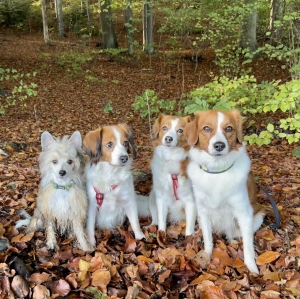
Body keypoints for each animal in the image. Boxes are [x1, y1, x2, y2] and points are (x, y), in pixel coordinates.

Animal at [185, 109, 264, 274]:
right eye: (206, 128)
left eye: (229, 128)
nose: (219, 145)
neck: (217, 171)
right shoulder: (203, 212)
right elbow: (208, 239)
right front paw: (206, 256)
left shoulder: (244, 213)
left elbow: (248, 246)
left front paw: (252, 268)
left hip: (258, 216)